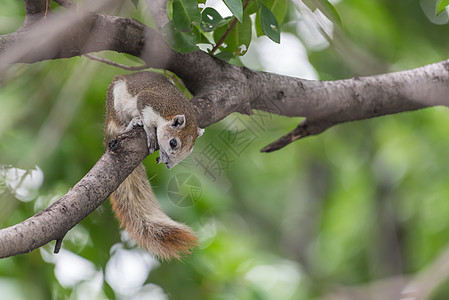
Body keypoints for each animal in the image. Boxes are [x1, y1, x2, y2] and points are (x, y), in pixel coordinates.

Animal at [103, 72, 203, 260]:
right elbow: (146, 116)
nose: (168, 165)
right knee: (120, 126)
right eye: (173, 143)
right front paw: (150, 133)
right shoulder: (149, 101)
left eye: (188, 153)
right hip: (116, 105)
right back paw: (132, 123)